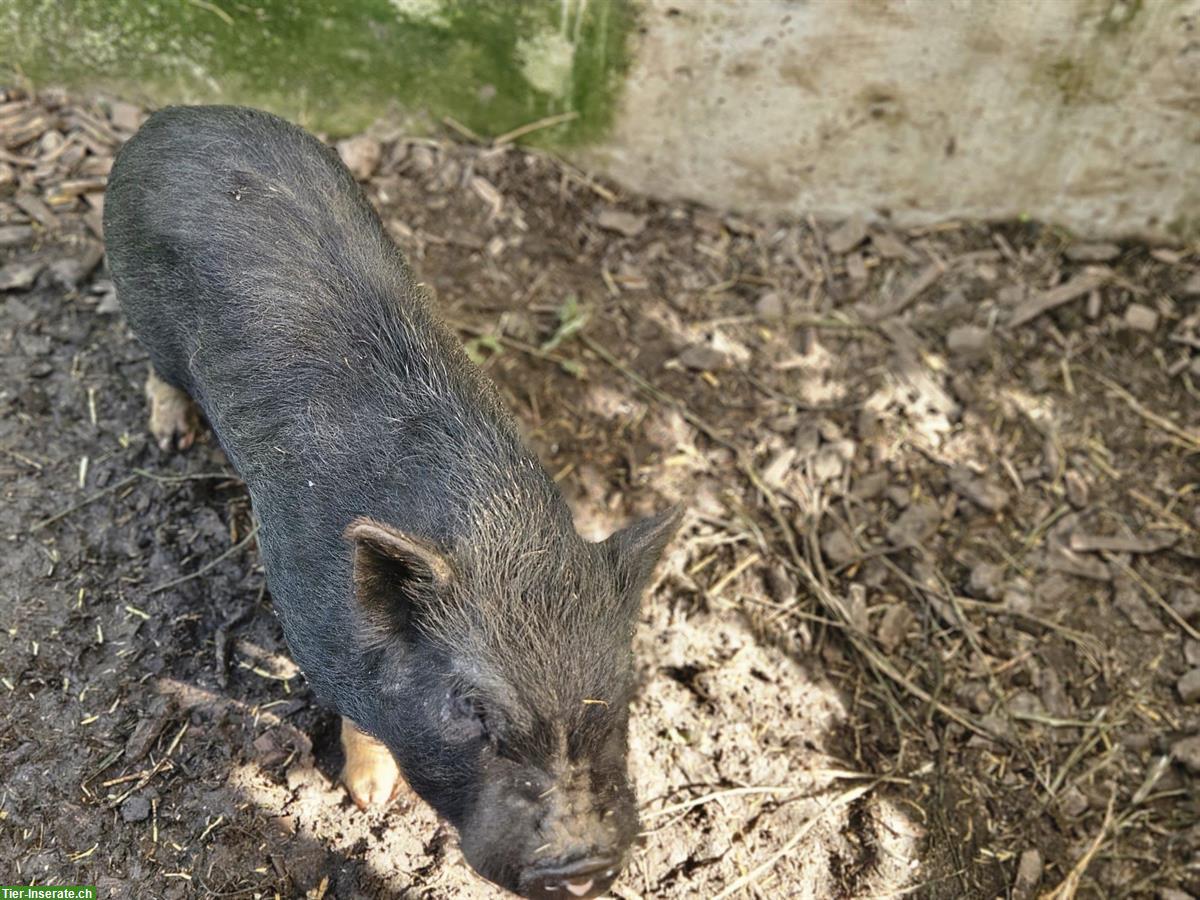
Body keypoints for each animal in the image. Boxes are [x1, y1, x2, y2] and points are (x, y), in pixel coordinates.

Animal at [104, 107, 681, 900]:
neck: (496, 527)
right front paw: (370, 800)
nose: (584, 862)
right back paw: (168, 436)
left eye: (619, 696)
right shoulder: (313, 627)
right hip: (141, 309)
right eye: (471, 709)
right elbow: (360, 721)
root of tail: (170, 119)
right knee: (158, 373)